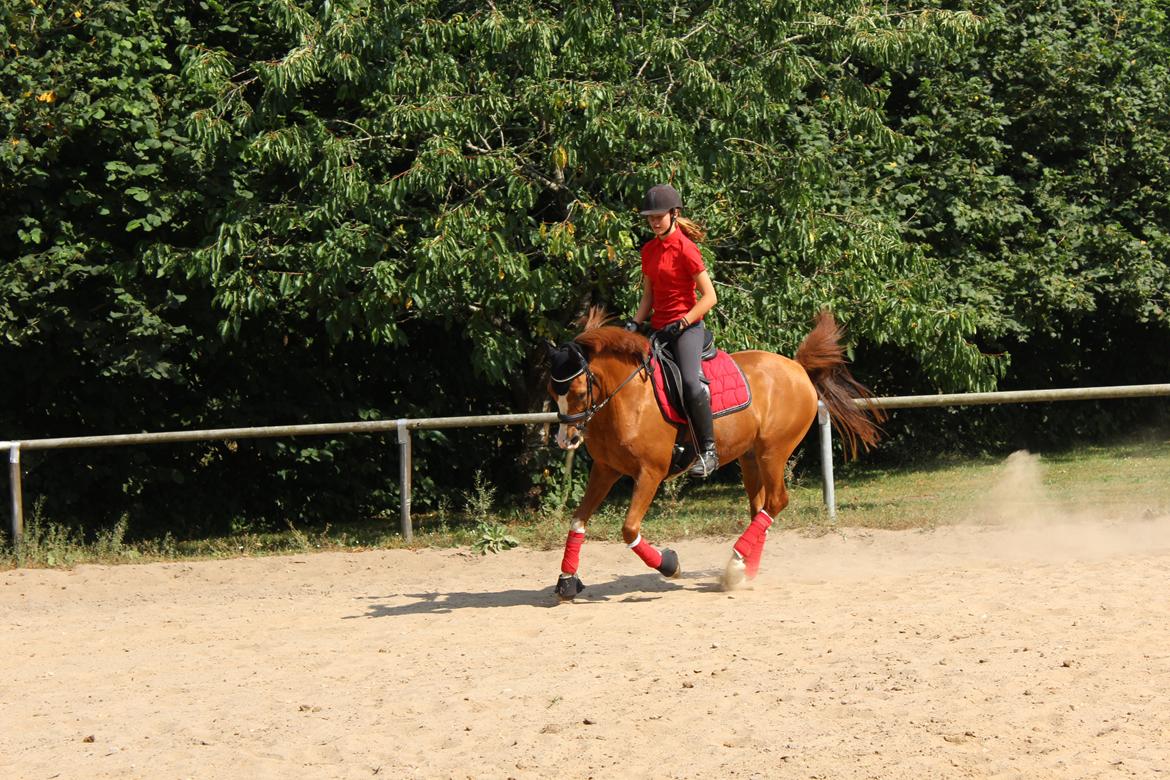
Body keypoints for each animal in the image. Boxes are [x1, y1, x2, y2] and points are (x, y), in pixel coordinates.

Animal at [545, 307, 883, 600]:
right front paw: (567, 581)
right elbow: (577, 520)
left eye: (578, 393)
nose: (565, 440)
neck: (629, 398)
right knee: (760, 507)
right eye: (552, 393)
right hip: (750, 458)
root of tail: (797, 366)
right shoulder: (605, 470)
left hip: (773, 452)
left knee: (776, 501)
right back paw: (744, 569)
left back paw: (736, 561)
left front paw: (670, 564)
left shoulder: (650, 473)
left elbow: (629, 530)